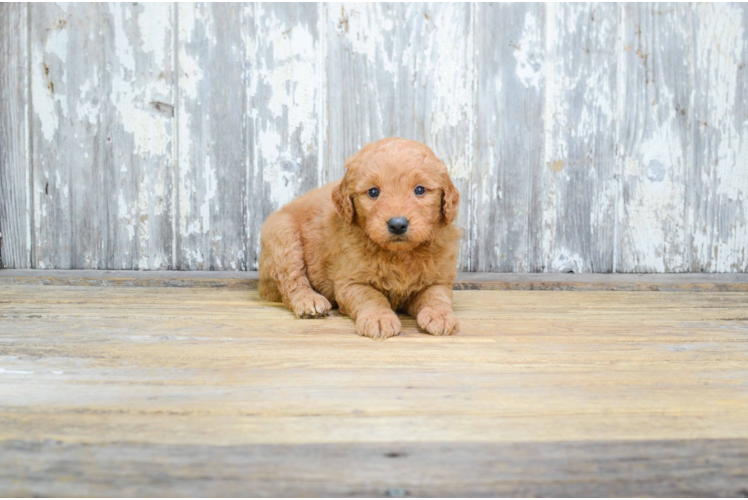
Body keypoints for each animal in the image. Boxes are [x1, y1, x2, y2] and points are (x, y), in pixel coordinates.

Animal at [258, 137, 462, 340]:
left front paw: (440, 316)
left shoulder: (438, 280)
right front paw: (379, 318)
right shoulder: (350, 282)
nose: (397, 225)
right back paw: (309, 301)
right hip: (283, 237)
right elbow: (371, 296)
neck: (399, 255)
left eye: (420, 190)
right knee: (291, 281)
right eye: (373, 192)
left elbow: (436, 296)